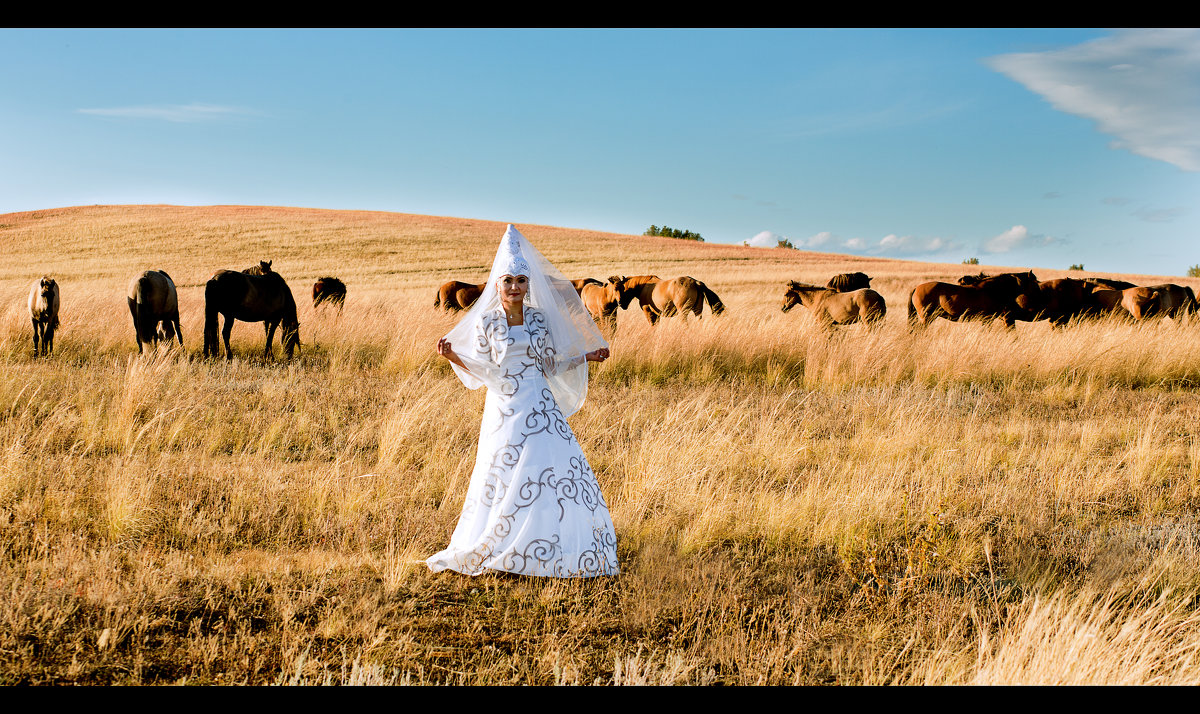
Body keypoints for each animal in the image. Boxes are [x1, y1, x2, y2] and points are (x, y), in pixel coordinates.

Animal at [907, 271, 1041, 328]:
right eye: (1035, 283)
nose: (1040, 295)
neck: (993, 289)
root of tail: (916, 288)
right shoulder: (987, 319)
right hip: (926, 317)